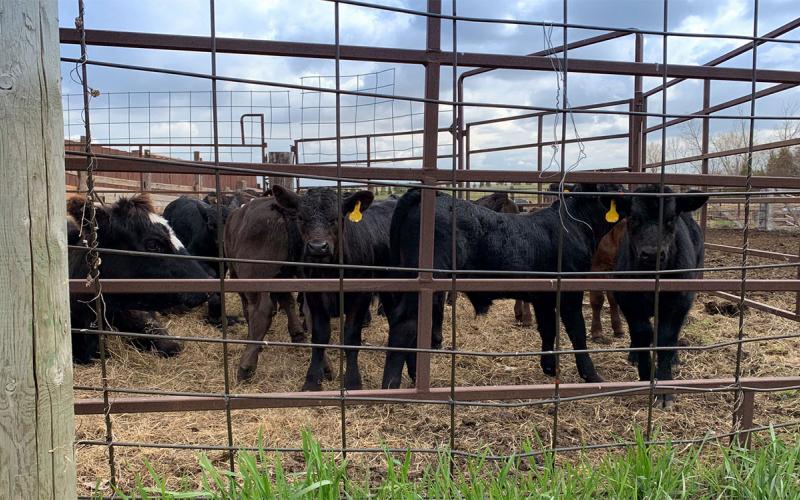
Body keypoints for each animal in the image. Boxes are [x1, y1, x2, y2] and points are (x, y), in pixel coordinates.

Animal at [271, 185, 396, 391]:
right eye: (301, 217)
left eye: (336, 218)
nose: (317, 247)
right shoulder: (314, 297)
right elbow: (320, 336)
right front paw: (312, 381)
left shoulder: (361, 295)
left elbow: (352, 337)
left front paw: (353, 381)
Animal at [381, 184, 623, 389]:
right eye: (619, 188)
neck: (573, 224)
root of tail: (437, 195)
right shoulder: (570, 291)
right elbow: (577, 331)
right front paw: (592, 375)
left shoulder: (544, 296)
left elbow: (547, 329)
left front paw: (549, 367)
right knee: (406, 322)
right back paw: (392, 384)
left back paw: (414, 376)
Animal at [606, 185, 708, 409]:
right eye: (633, 218)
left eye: (670, 219)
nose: (652, 254)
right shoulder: (628, 301)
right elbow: (642, 334)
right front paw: (645, 377)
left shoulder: (679, 302)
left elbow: (665, 338)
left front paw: (664, 389)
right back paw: (633, 355)